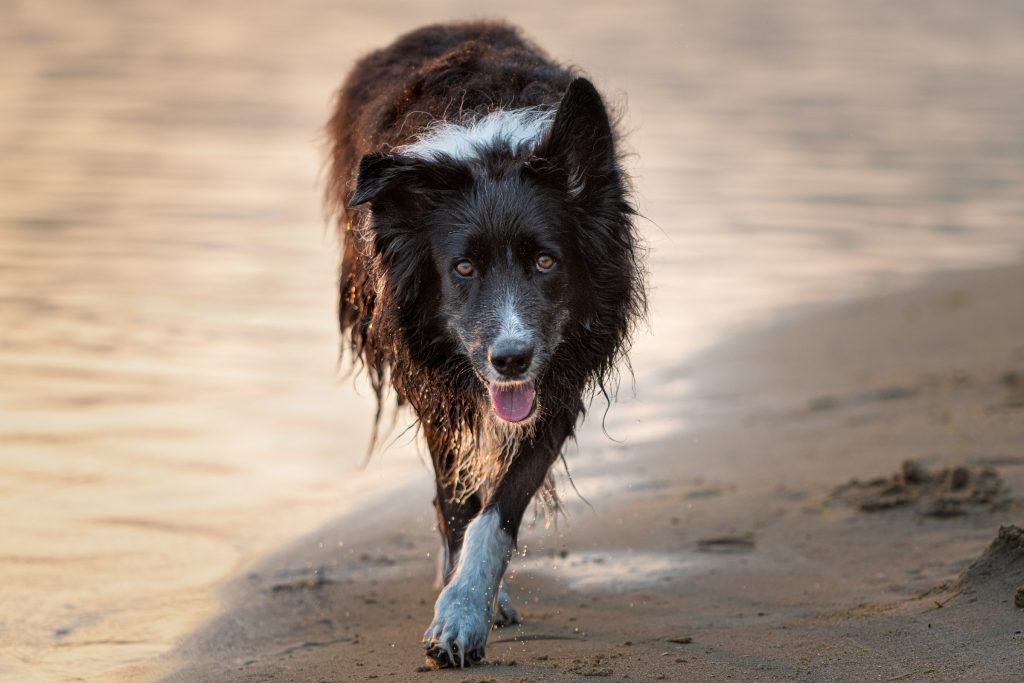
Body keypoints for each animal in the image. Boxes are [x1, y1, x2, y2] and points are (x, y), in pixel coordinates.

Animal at [323, 20, 643, 667]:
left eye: (546, 261)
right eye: (463, 268)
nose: (511, 360)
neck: (491, 150)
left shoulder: (559, 382)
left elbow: (500, 509)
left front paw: (466, 609)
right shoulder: (436, 385)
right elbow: (457, 503)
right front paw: (460, 603)